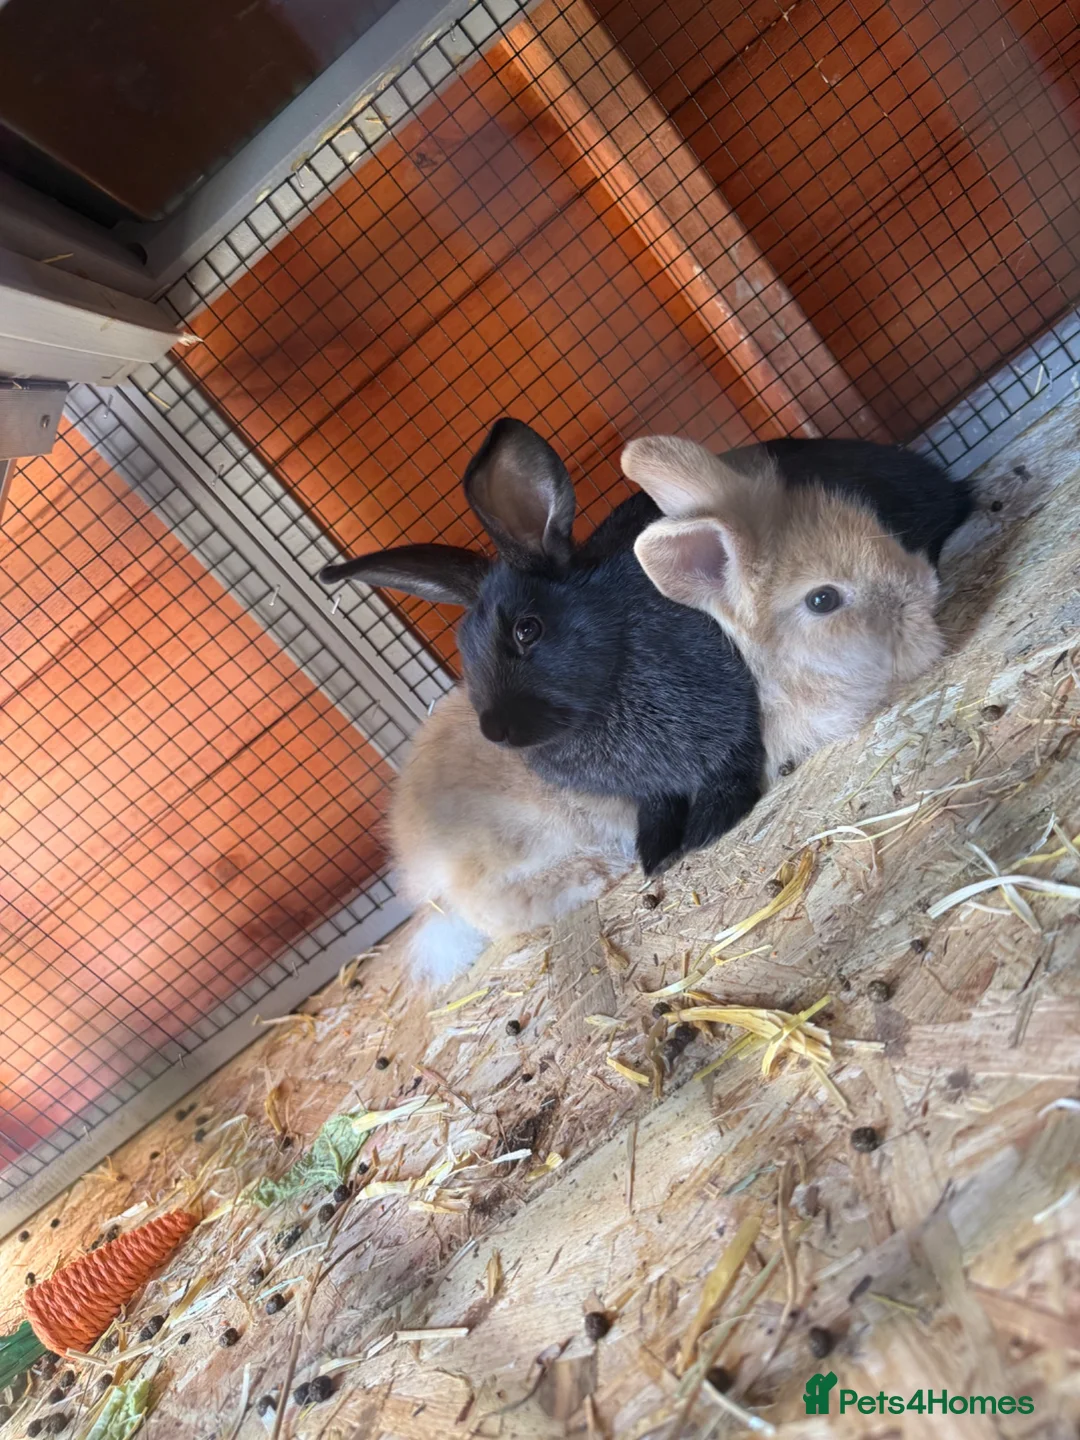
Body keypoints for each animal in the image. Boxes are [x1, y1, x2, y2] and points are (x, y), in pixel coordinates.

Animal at [319, 418, 766, 878]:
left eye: (527, 630)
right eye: (464, 650)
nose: (495, 730)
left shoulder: (733, 714)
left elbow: (730, 765)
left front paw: (709, 827)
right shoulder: (653, 790)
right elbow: (660, 805)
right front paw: (656, 855)